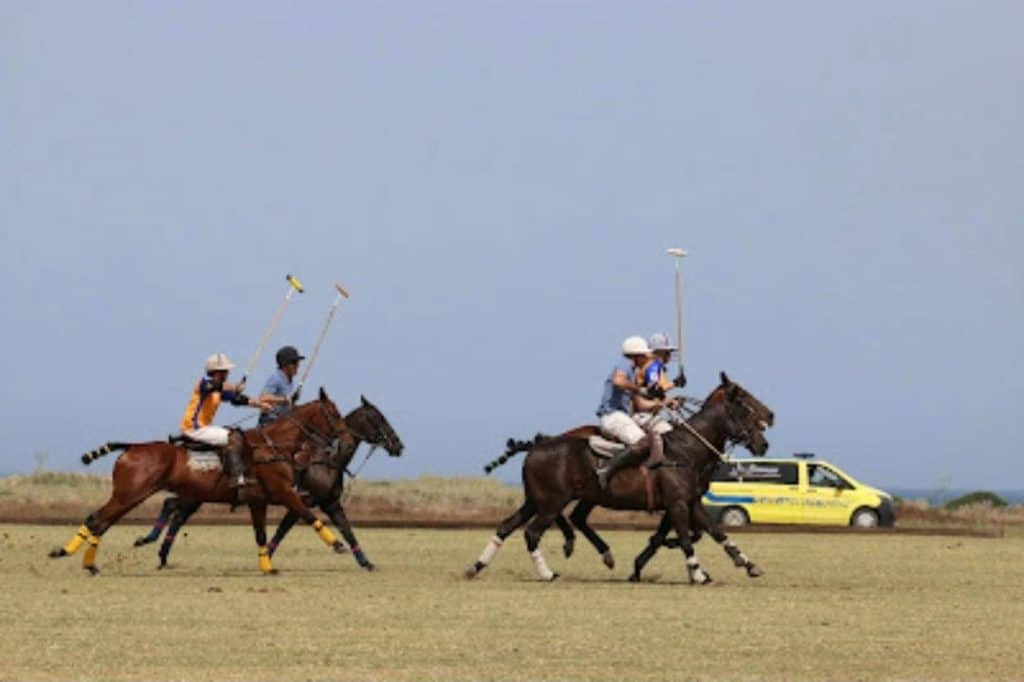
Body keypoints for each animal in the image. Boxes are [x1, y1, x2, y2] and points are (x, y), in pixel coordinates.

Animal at [50, 385, 352, 569]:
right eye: (335, 414)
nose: (347, 441)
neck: (273, 445)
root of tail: (131, 447)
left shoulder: (259, 500)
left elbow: (261, 535)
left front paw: (268, 568)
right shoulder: (284, 492)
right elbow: (308, 514)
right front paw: (338, 545)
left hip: (131, 495)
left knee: (102, 521)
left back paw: (82, 560)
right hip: (130, 494)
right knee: (98, 519)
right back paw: (73, 556)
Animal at [135, 393, 403, 569]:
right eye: (379, 417)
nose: (399, 446)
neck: (326, 460)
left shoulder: (330, 502)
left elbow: (348, 530)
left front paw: (366, 562)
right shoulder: (301, 500)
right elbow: (285, 529)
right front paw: (268, 557)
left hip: (197, 495)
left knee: (174, 509)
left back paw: (159, 552)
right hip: (197, 495)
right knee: (174, 510)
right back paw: (155, 546)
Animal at [464, 372, 770, 585]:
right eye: (745, 404)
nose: (764, 440)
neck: (688, 450)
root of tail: (536, 446)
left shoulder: (691, 502)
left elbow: (716, 532)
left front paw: (748, 564)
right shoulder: (677, 503)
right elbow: (685, 537)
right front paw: (696, 574)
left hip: (536, 500)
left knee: (507, 526)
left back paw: (476, 567)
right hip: (552, 501)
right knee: (533, 532)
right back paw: (549, 573)